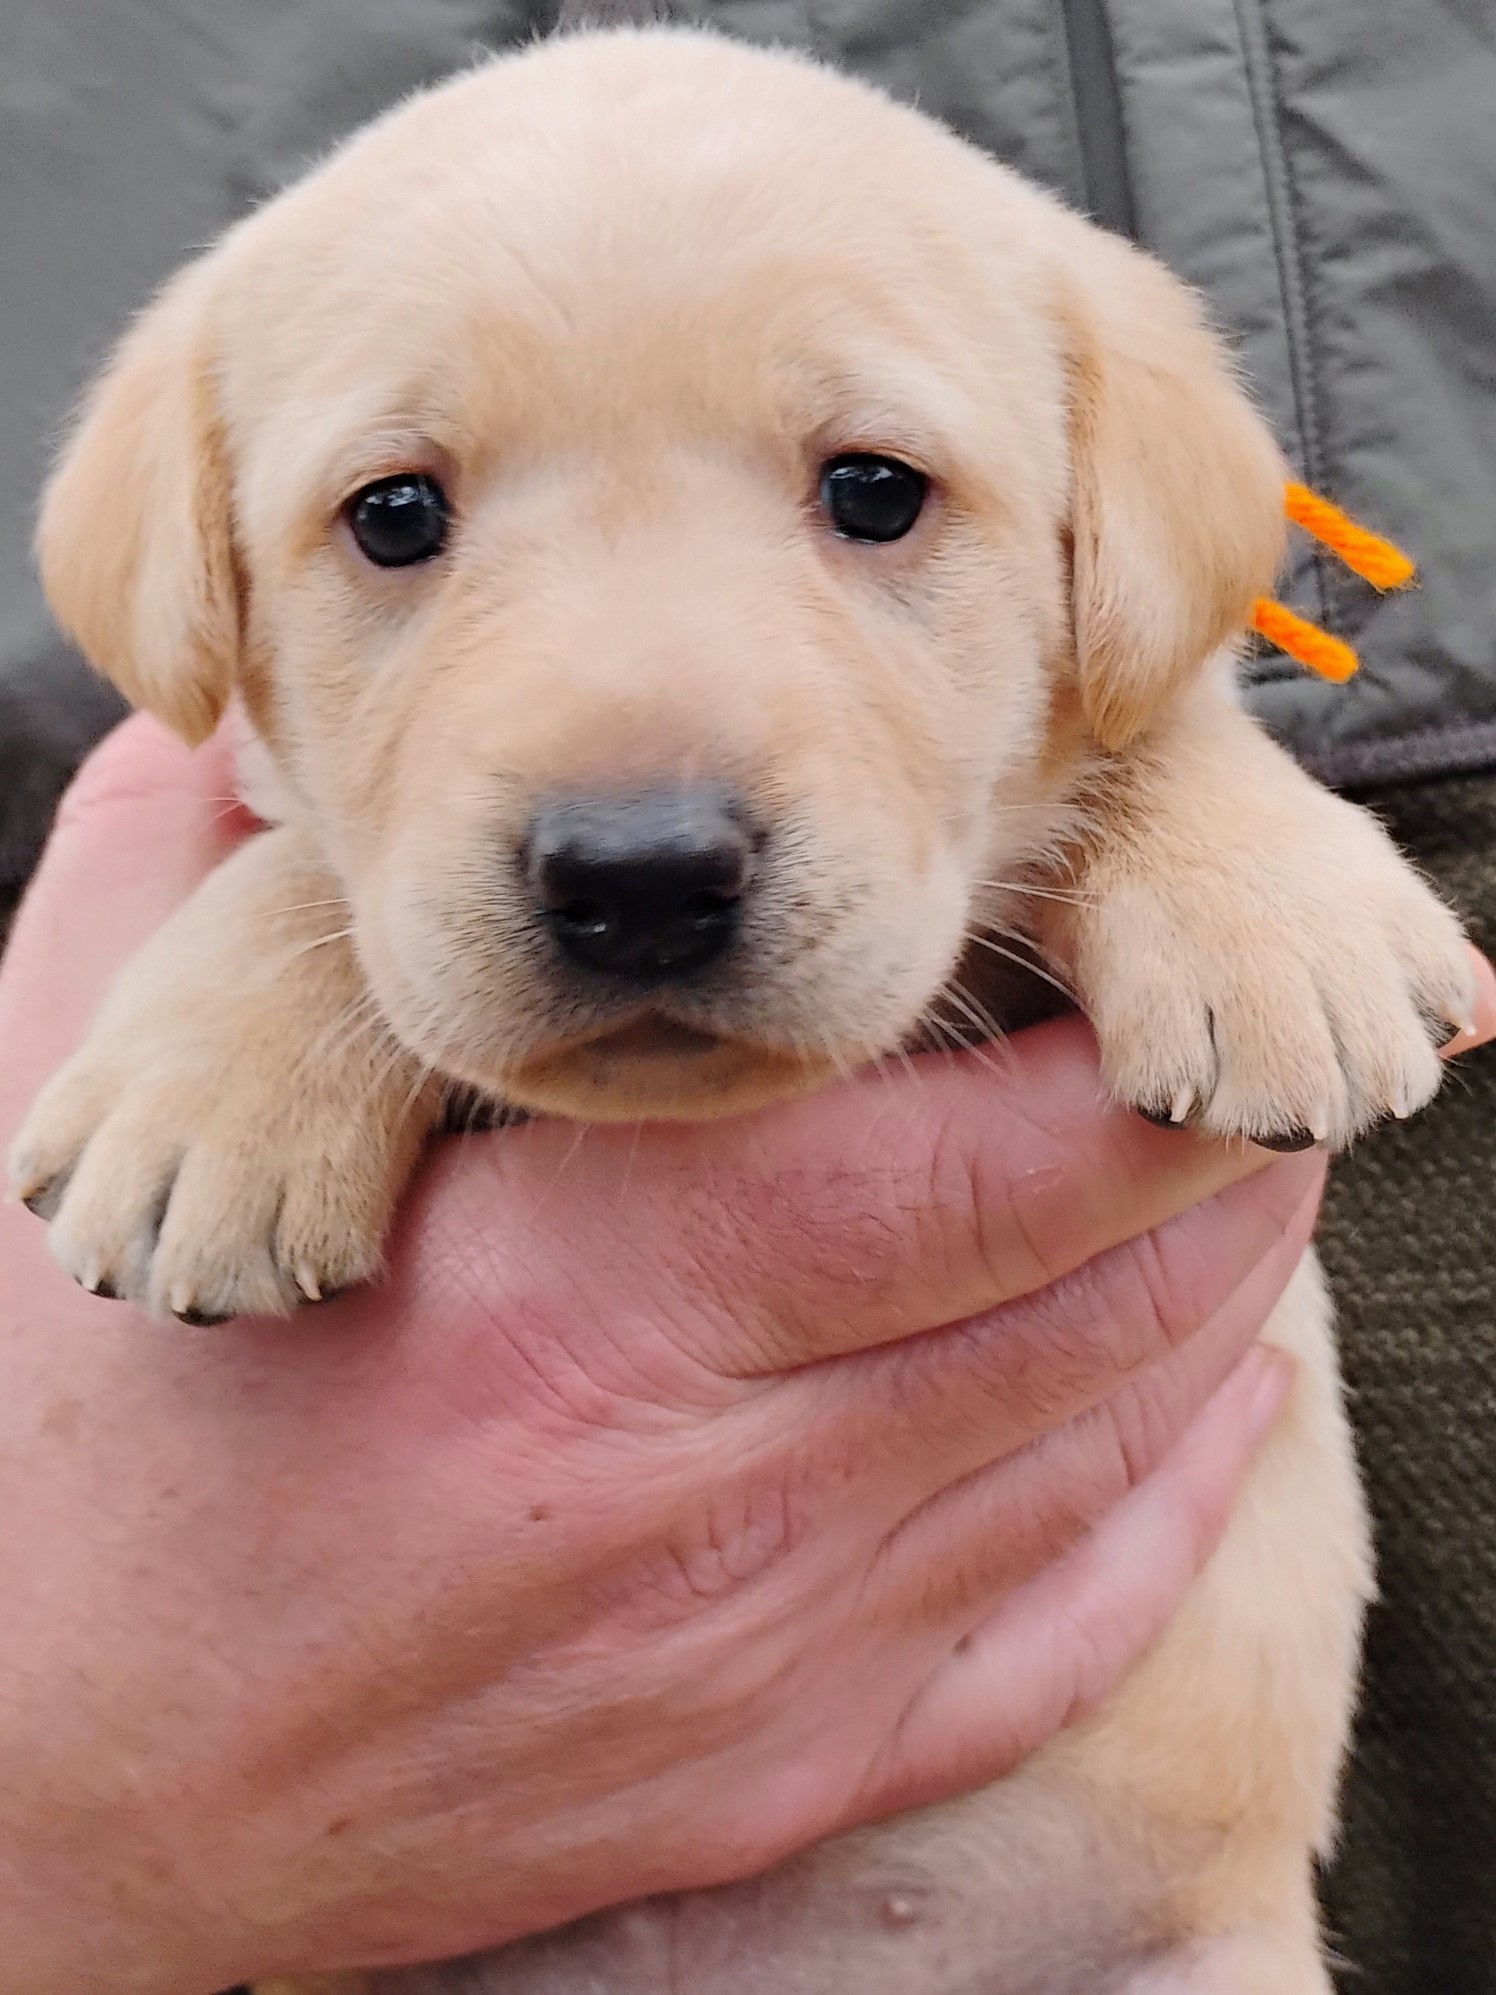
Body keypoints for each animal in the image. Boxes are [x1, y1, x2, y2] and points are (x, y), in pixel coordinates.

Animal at [8, 19, 1476, 1995]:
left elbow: (1151, 714)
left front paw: (1276, 907)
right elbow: (299, 861)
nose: (639, 875)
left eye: (875, 490)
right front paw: (206, 1089)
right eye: (394, 514)